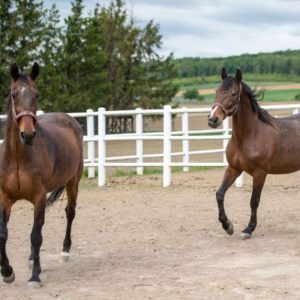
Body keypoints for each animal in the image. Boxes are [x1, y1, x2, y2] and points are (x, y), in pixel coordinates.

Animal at [0, 62, 82, 286]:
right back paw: (30, 259)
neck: (18, 158)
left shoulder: (38, 197)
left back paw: (64, 253)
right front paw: (7, 272)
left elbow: (36, 236)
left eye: (36, 94)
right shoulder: (5, 198)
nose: (27, 134)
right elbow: (3, 234)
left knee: (70, 213)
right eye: (13, 94)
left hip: (73, 183)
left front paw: (35, 276)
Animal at [209, 67, 300, 239]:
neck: (251, 134)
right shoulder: (234, 169)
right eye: (216, 91)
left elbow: (254, 201)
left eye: (233, 93)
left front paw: (248, 229)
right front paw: (227, 225)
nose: (212, 119)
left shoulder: (260, 173)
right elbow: (219, 194)